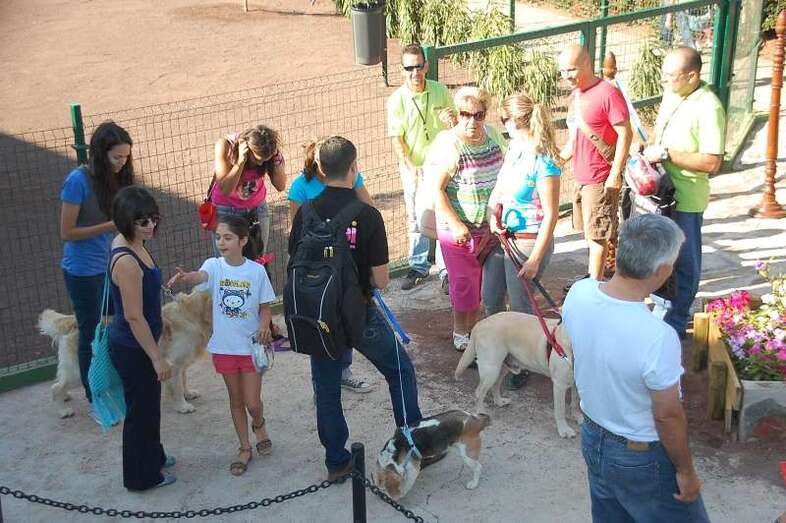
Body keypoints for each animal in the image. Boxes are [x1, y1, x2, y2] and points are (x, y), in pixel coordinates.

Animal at [38, 289, 212, 418]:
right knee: (55, 387)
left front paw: (188, 393)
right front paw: (182, 406)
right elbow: (176, 387)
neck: (191, 316)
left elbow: (183, 380)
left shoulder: (181, 363)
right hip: (77, 371)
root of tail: (72, 321)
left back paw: (66, 397)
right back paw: (63, 410)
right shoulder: (172, 364)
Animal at [454, 311, 582, 438]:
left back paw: (499, 401)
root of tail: (480, 323)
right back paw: (481, 412)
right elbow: (560, 410)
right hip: (491, 369)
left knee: (495, 385)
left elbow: (575, 402)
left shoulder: (577, 383)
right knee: (479, 392)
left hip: (502, 367)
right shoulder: (560, 385)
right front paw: (564, 429)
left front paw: (577, 416)